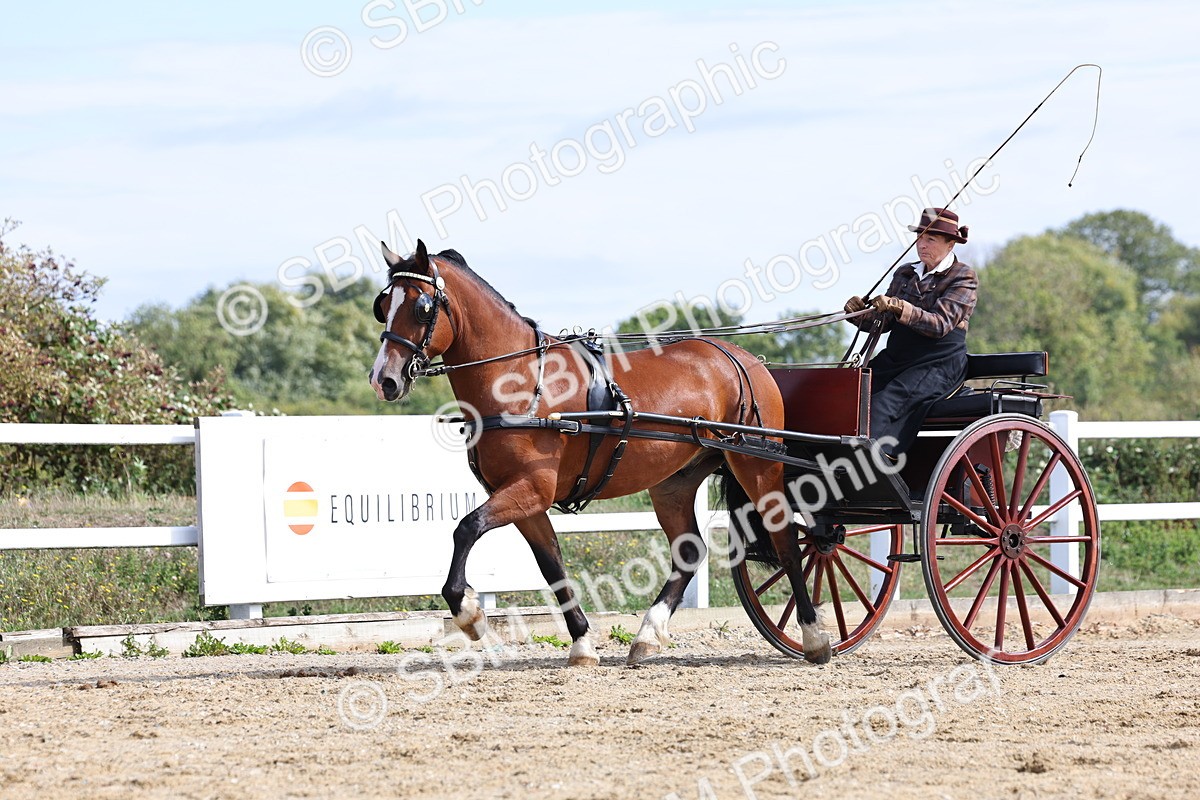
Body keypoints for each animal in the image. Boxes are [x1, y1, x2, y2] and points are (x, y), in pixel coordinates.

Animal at [368, 239, 830, 666]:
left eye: (422, 307)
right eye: (383, 305)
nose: (383, 380)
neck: (522, 381)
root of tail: (743, 359)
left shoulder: (531, 488)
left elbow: (465, 528)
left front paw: (469, 613)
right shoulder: (526, 500)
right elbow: (551, 566)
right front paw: (582, 644)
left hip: (758, 466)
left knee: (786, 540)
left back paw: (814, 638)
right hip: (674, 483)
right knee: (689, 551)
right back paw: (647, 635)